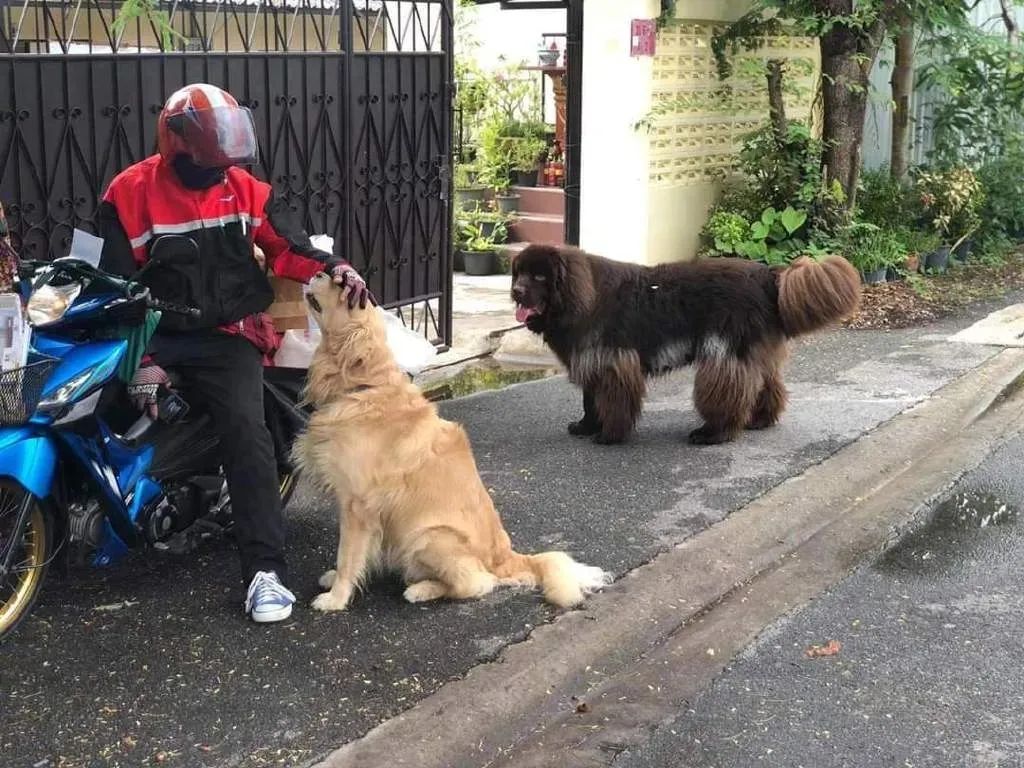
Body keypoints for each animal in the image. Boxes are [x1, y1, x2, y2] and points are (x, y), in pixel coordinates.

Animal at [512, 246, 864, 448]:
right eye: (519, 273)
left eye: (540, 277)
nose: (515, 291)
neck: (582, 297)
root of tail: (768, 275)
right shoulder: (592, 360)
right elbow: (589, 401)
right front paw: (586, 427)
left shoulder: (613, 362)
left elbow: (610, 403)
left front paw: (609, 435)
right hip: (754, 351)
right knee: (767, 385)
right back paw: (759, 420)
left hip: (724, 352)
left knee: (730, 394)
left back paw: (713, 433)